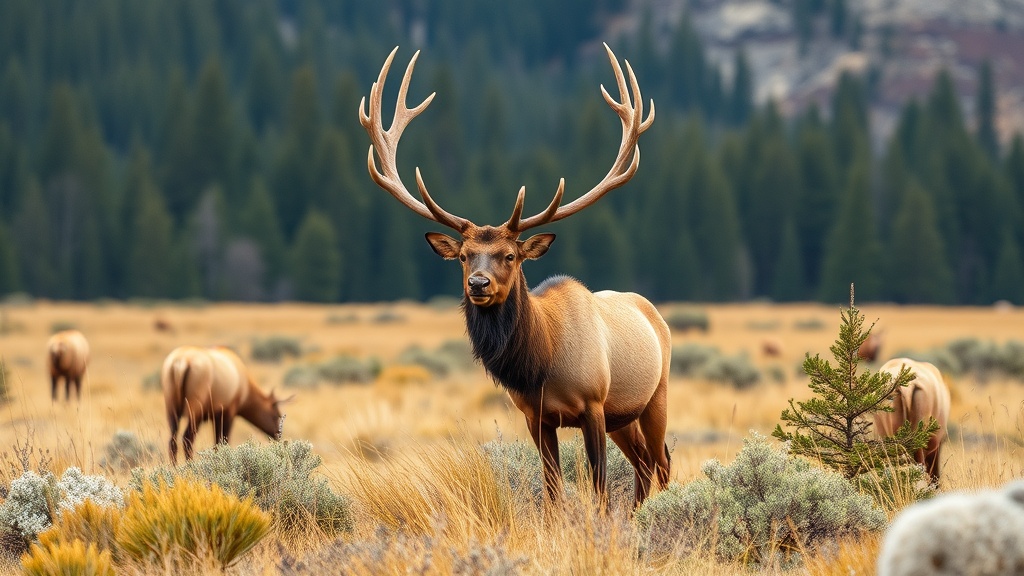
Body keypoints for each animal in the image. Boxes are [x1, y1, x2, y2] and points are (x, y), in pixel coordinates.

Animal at [162, 346, 292, 463]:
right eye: (276, 415)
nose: (278, 435)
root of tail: (181, 363)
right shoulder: (228, 413)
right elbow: (222, 443)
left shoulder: (215, 417)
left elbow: (217, 444)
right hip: (195, 413)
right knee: (187, 438)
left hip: (172, 411)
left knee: (172, 441)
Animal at [359, 45, 670, 506]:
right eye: (464, 256)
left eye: (509, 255)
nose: (478, 284)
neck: (542, 364)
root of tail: (654, 313)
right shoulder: (534, 416)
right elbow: (552, 489)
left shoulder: (594, 403)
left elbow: (597, 486)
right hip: (625, 416)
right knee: (644, 467)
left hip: (655, 395)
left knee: (662, 463)